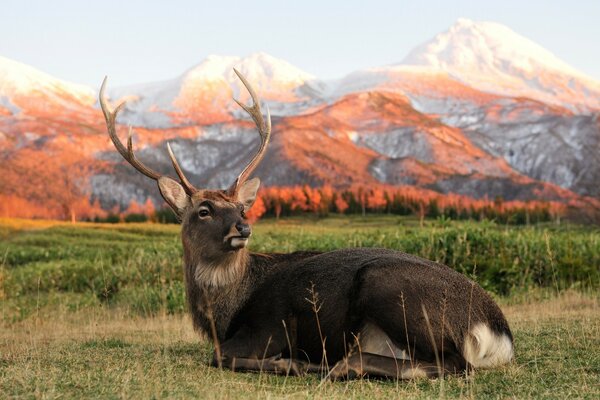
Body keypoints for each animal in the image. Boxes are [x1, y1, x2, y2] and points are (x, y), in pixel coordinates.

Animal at [101, 70, 512, 380]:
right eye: (203, 210)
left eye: (241, 208)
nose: (242, 229)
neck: (223, 313)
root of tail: (497, 331)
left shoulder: (268, 326)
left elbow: (219, 356)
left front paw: (290, 362)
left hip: (388, 286)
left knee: (452, 363)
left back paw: (330, 365)